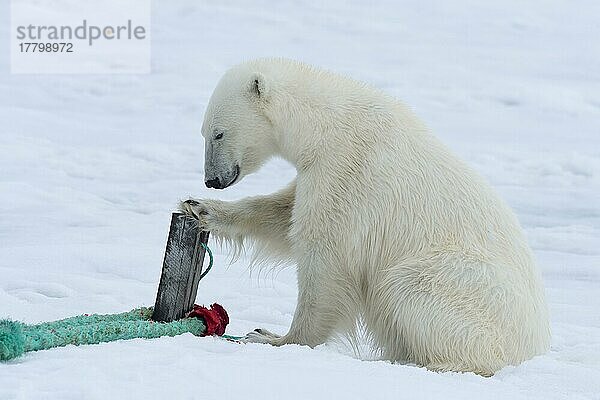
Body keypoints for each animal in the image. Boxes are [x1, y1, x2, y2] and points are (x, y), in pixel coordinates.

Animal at [180, 58, 552, 376]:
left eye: (218, 133)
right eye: (204, 132)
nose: (212, 179)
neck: (326, 125)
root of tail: (533, 347)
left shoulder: (347, 169)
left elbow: (324, 256)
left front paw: (271, 337)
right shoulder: (319, 171)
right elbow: (282, 215)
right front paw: (199, 207)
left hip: (466, 288)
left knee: (409, 286)